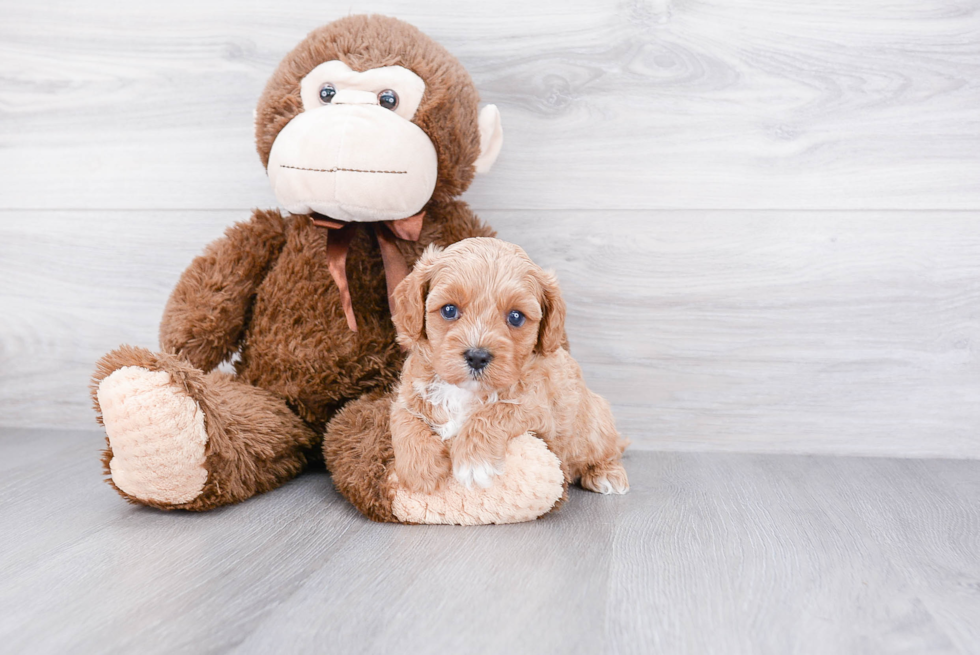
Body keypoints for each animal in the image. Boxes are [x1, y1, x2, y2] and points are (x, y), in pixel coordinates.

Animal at [388, 238, 628, 494]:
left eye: (516, 317)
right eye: (449, 310)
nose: (477, 356)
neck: (465, 392)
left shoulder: (537, 410)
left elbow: (496, 410)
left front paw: (475, 461)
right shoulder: (407, 394)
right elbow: (402, 419)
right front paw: (419, 468)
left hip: (594, 427)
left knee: (610, 449)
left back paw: (606, 473)